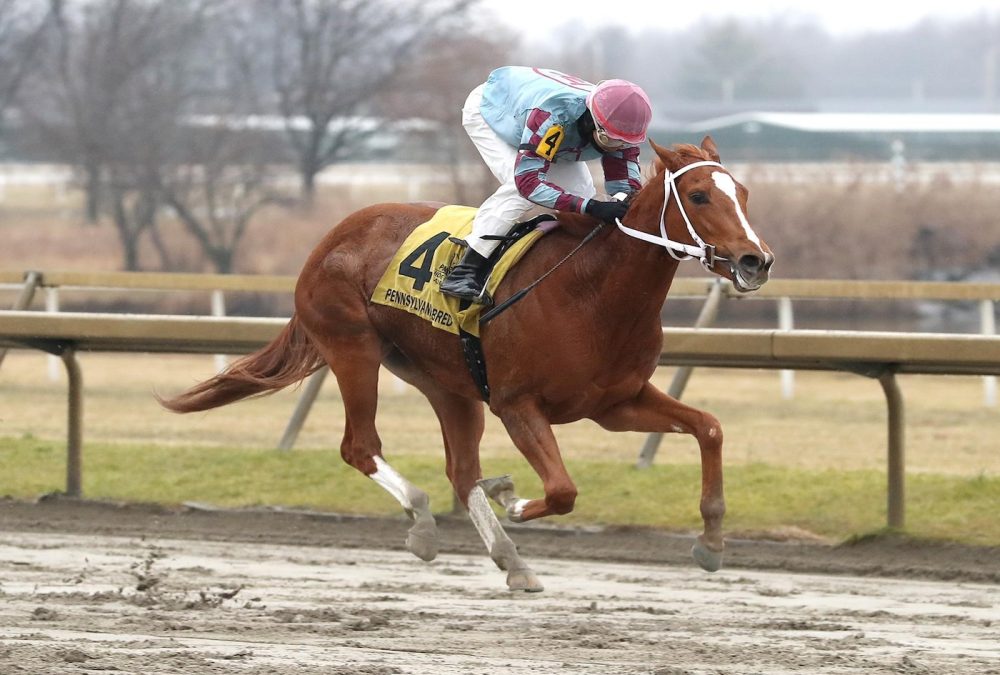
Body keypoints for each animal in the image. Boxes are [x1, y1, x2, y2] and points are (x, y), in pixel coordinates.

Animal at [162, 136, 772, 592]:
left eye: (742, 192)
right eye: (698, 195)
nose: (755, 260)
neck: (593, 291)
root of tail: (334, 234)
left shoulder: (614, 402)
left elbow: (709, 428)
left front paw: (711, 541)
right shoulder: (517, 404)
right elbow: (562, 490)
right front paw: (512, 498)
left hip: (445, 382)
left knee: (459, 470)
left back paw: (512, 560)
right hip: (352, 347)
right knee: (361, 447)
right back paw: (424, 524)